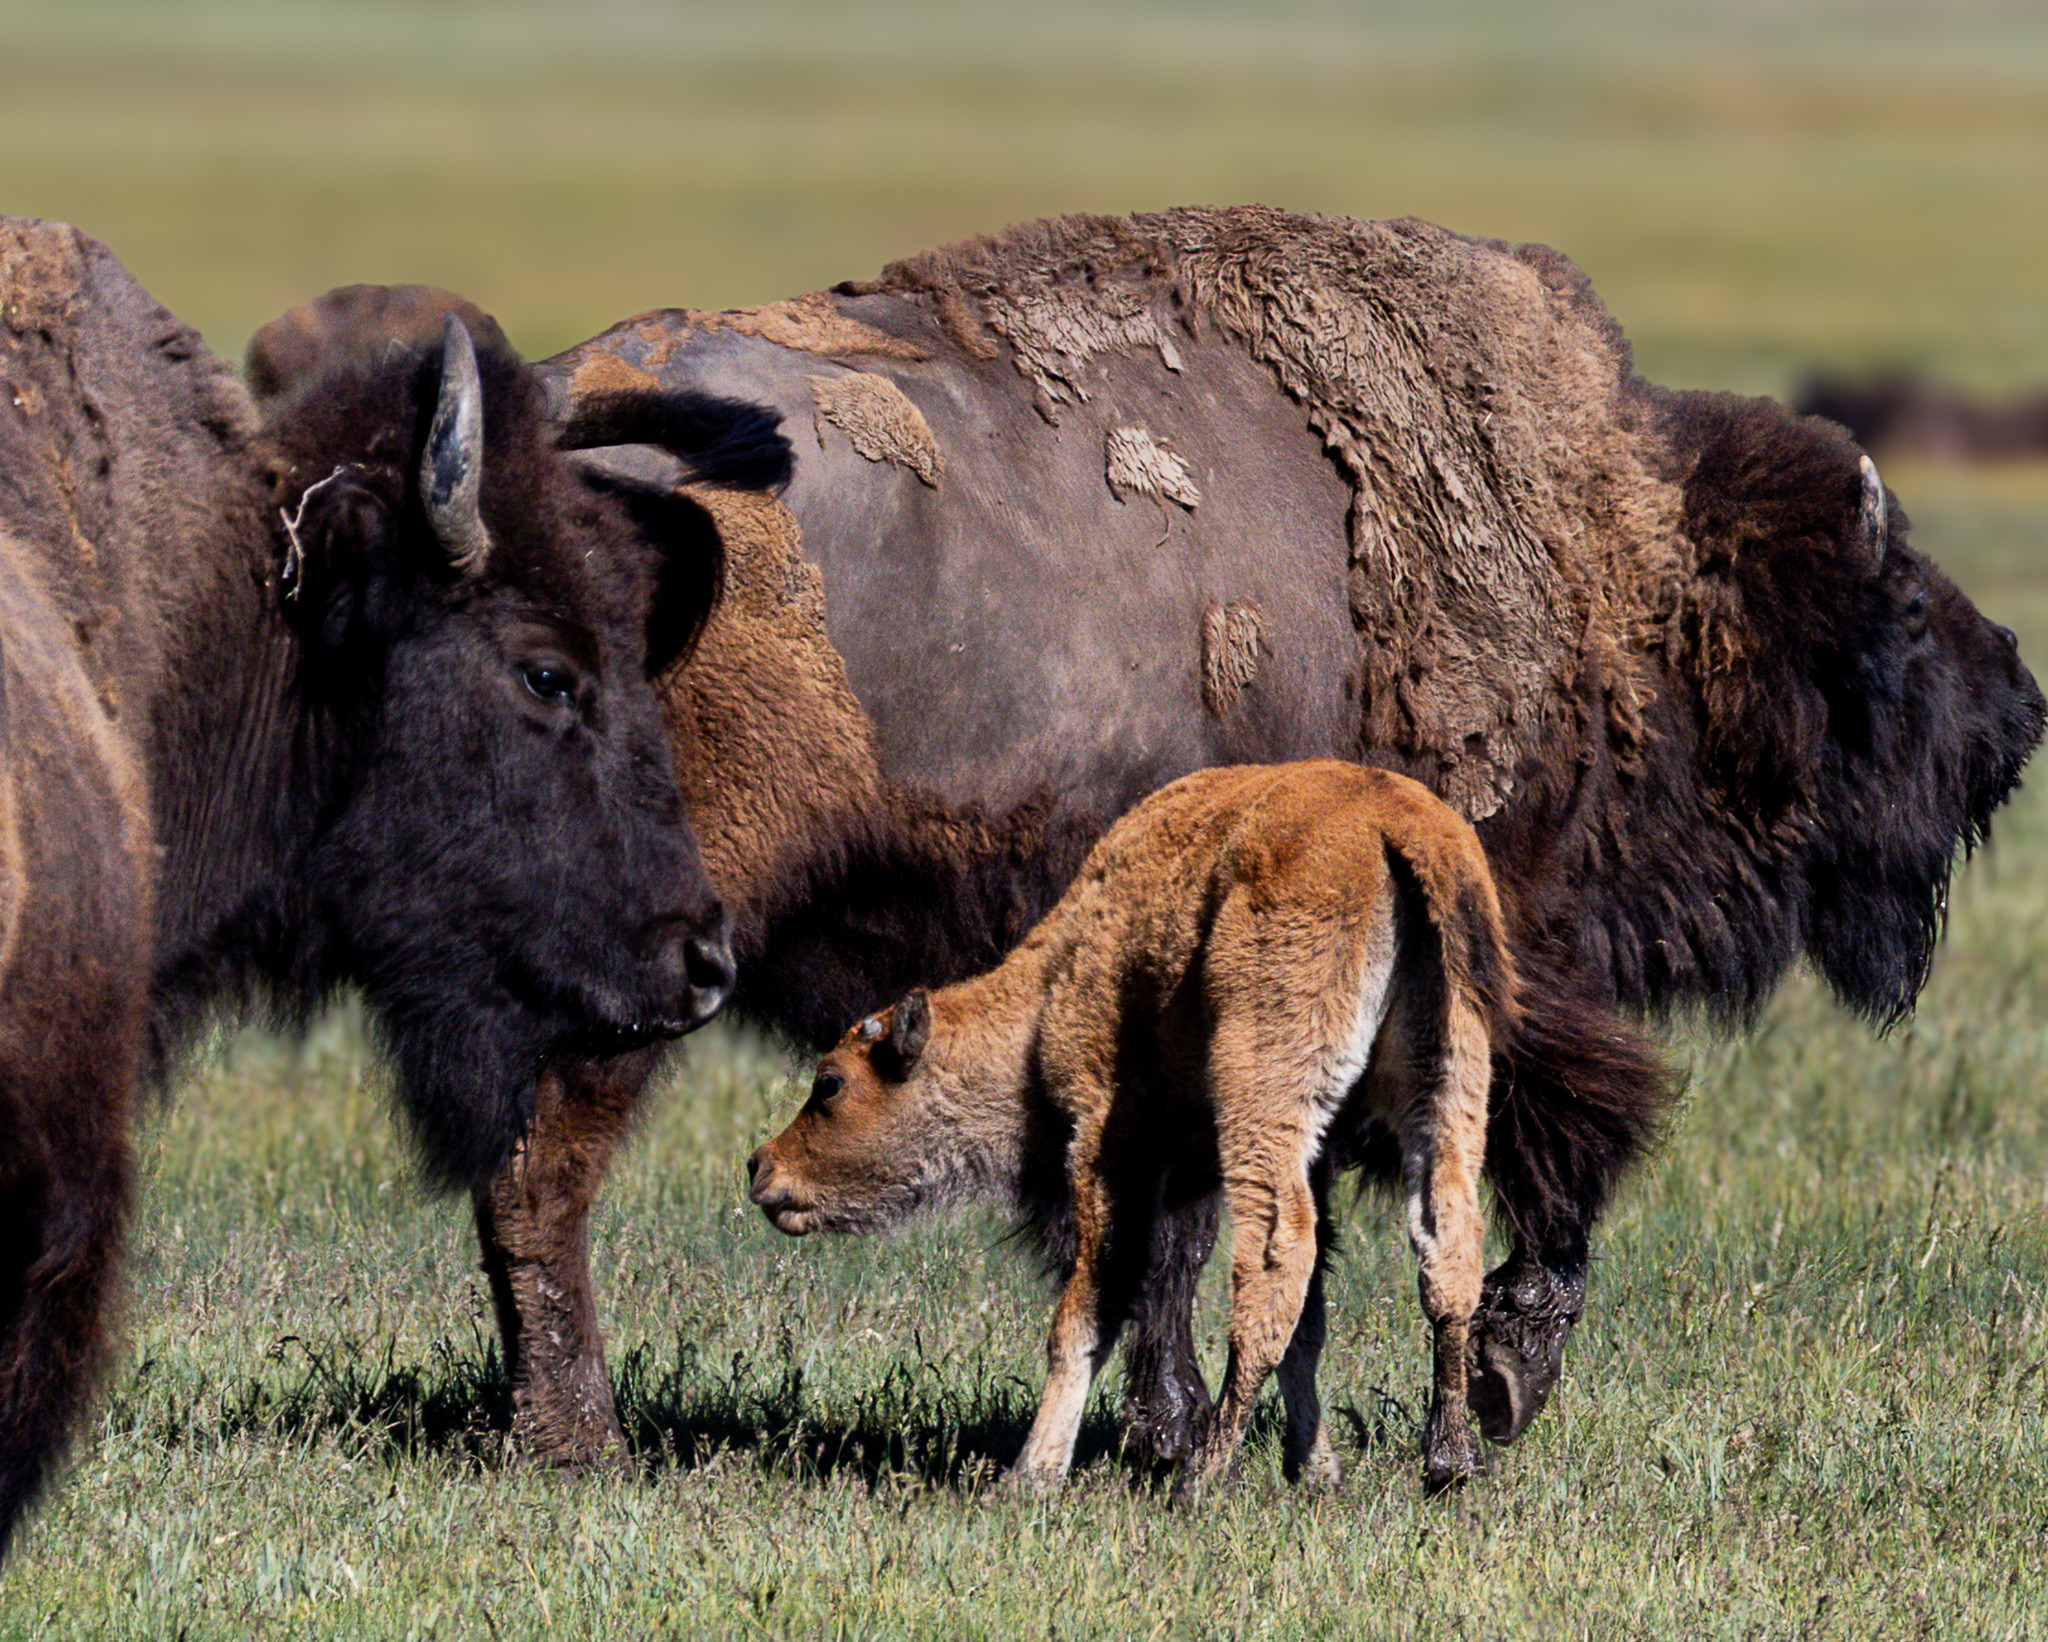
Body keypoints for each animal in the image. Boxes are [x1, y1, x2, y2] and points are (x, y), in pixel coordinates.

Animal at [749, 762, 1672, 1496]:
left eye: (830, 1085)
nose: (761, 1167)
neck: (1058, 979)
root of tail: (1397, 829)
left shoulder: (1110, 1142)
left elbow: (1089, 1310)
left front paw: (1030, 1478)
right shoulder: (1320, 1150)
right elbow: (1312, 1326)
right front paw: (1316, 1469)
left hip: (1264, 1088)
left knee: (1273, 1258)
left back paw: (1203, 1475)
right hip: (1447, 1082)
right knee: (1443, 1247)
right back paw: (1447, 1463)